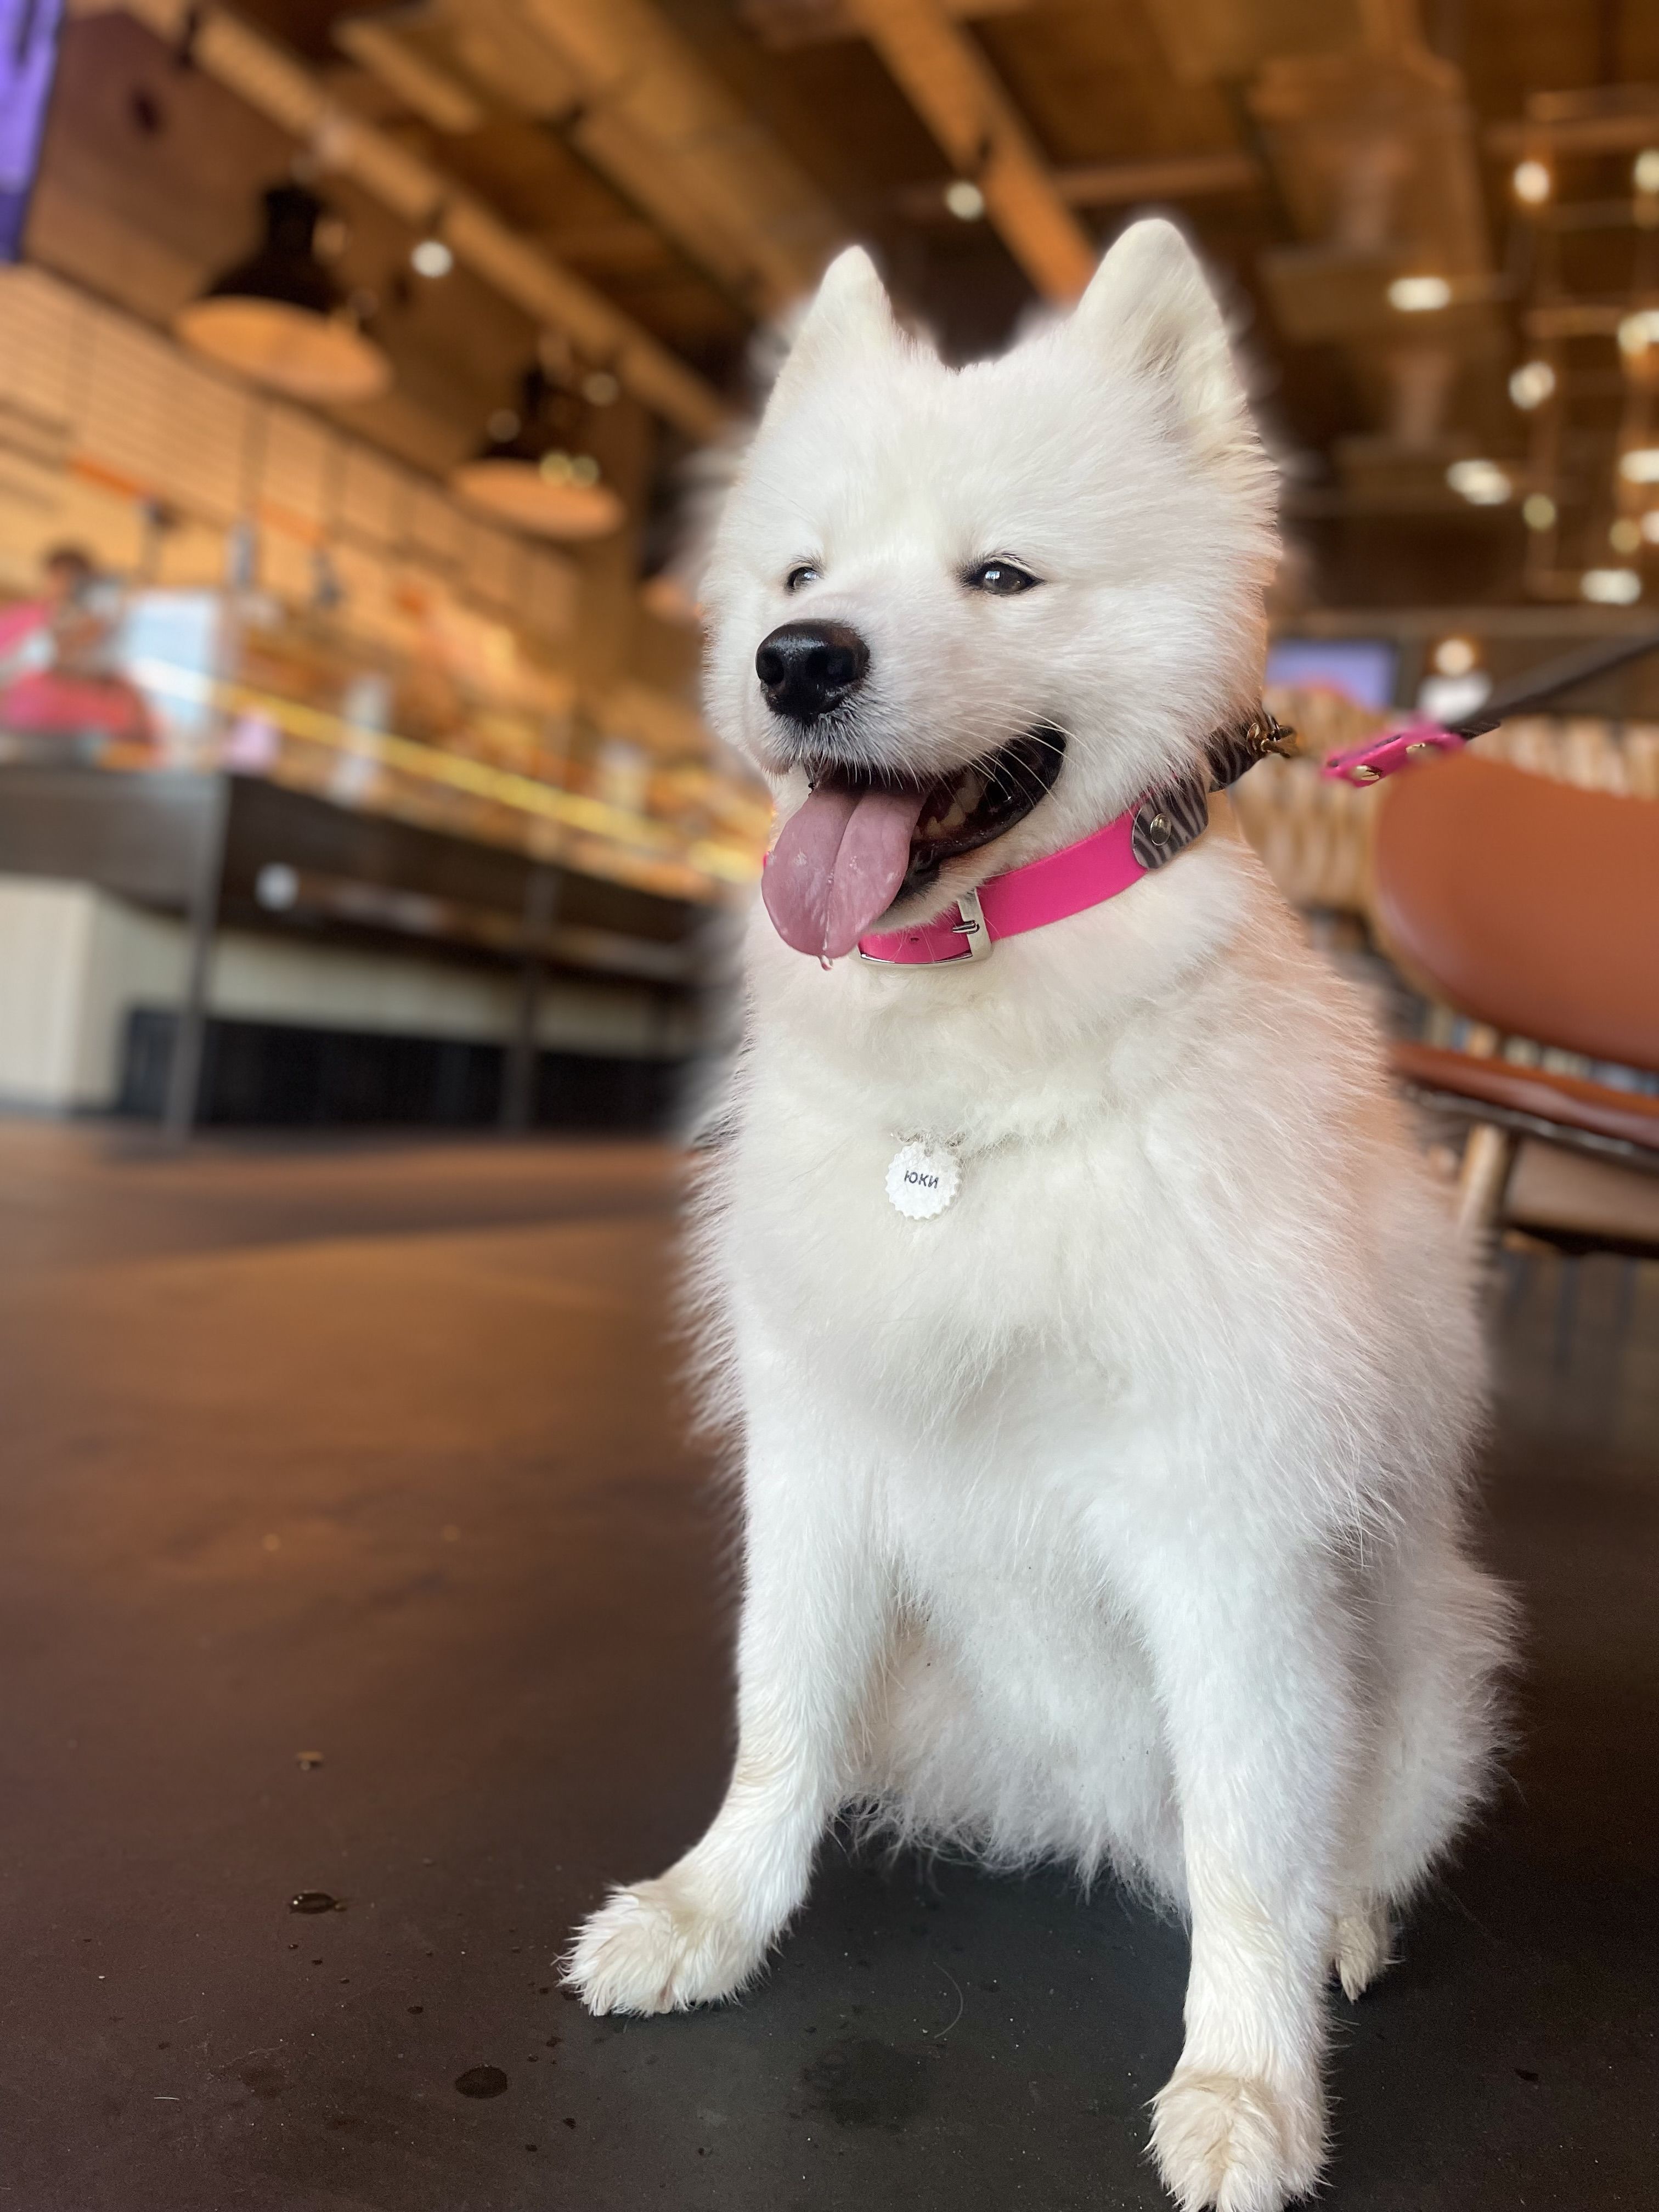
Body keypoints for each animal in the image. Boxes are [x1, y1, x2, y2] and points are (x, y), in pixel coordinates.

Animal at [567, 219, 1511, 2212]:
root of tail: (1076, 1806)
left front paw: (1246, 2086)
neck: (971, 1078)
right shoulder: (817, 1456)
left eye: (999, 575)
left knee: (1325, 1840)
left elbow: (1249, 1848)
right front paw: (712, 1915)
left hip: (1430, 1665)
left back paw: (1350, 1926)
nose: (797, 659)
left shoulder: (1228, 1526)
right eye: (801, 572)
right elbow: (775, 1717)